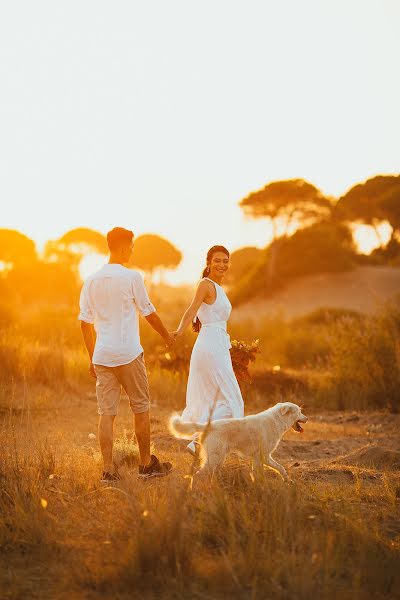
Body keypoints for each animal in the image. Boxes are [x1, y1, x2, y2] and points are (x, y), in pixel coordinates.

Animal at [170, 400, 308, 480]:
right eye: (299, 412)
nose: (307, 418)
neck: (277, 420)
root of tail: (208, 425)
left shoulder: (262, 457)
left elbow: (280, 468)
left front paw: (287, 481)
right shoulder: (263, 456)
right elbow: (271, 470)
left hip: (217, 458)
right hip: (215, 458)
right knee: (200, 473)